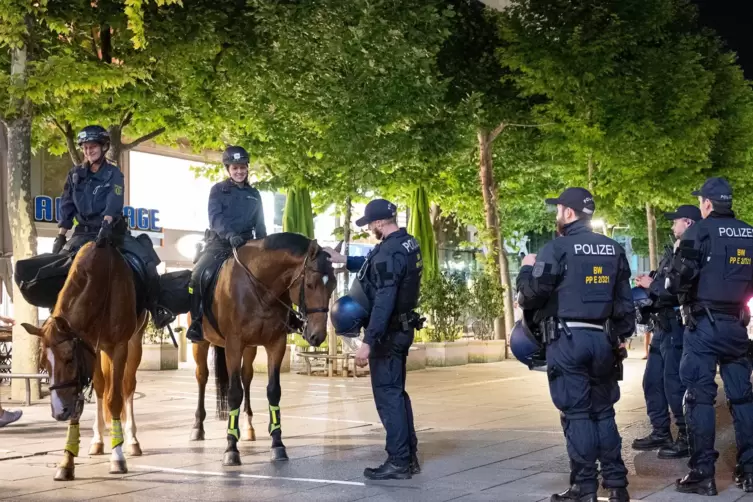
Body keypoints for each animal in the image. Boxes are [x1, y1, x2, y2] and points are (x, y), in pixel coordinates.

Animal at [21, 243, 148, 482]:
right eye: (43, 364)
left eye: (69, 359)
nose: (58, 412)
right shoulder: (90, 349)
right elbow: (82, 401)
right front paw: (67, 461)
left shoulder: (119, 347)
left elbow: (115, 399)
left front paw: (118, 457)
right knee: (100, 388)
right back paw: (98, 439)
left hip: (135, 341)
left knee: (127, 387)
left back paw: (132, 440)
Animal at [191, 233, 334, 464]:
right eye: (311, 284)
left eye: (334, 285)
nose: (318, 335)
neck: (259, 289)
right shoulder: (233, 345)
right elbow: (234, 393)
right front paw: (231, 448)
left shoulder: (276, 344)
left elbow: (273, 391)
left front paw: (277, 444)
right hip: (201, 343)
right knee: (202, 376)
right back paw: (197, 426)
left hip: (250, 348)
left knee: (246, 376)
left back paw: (248, 427)